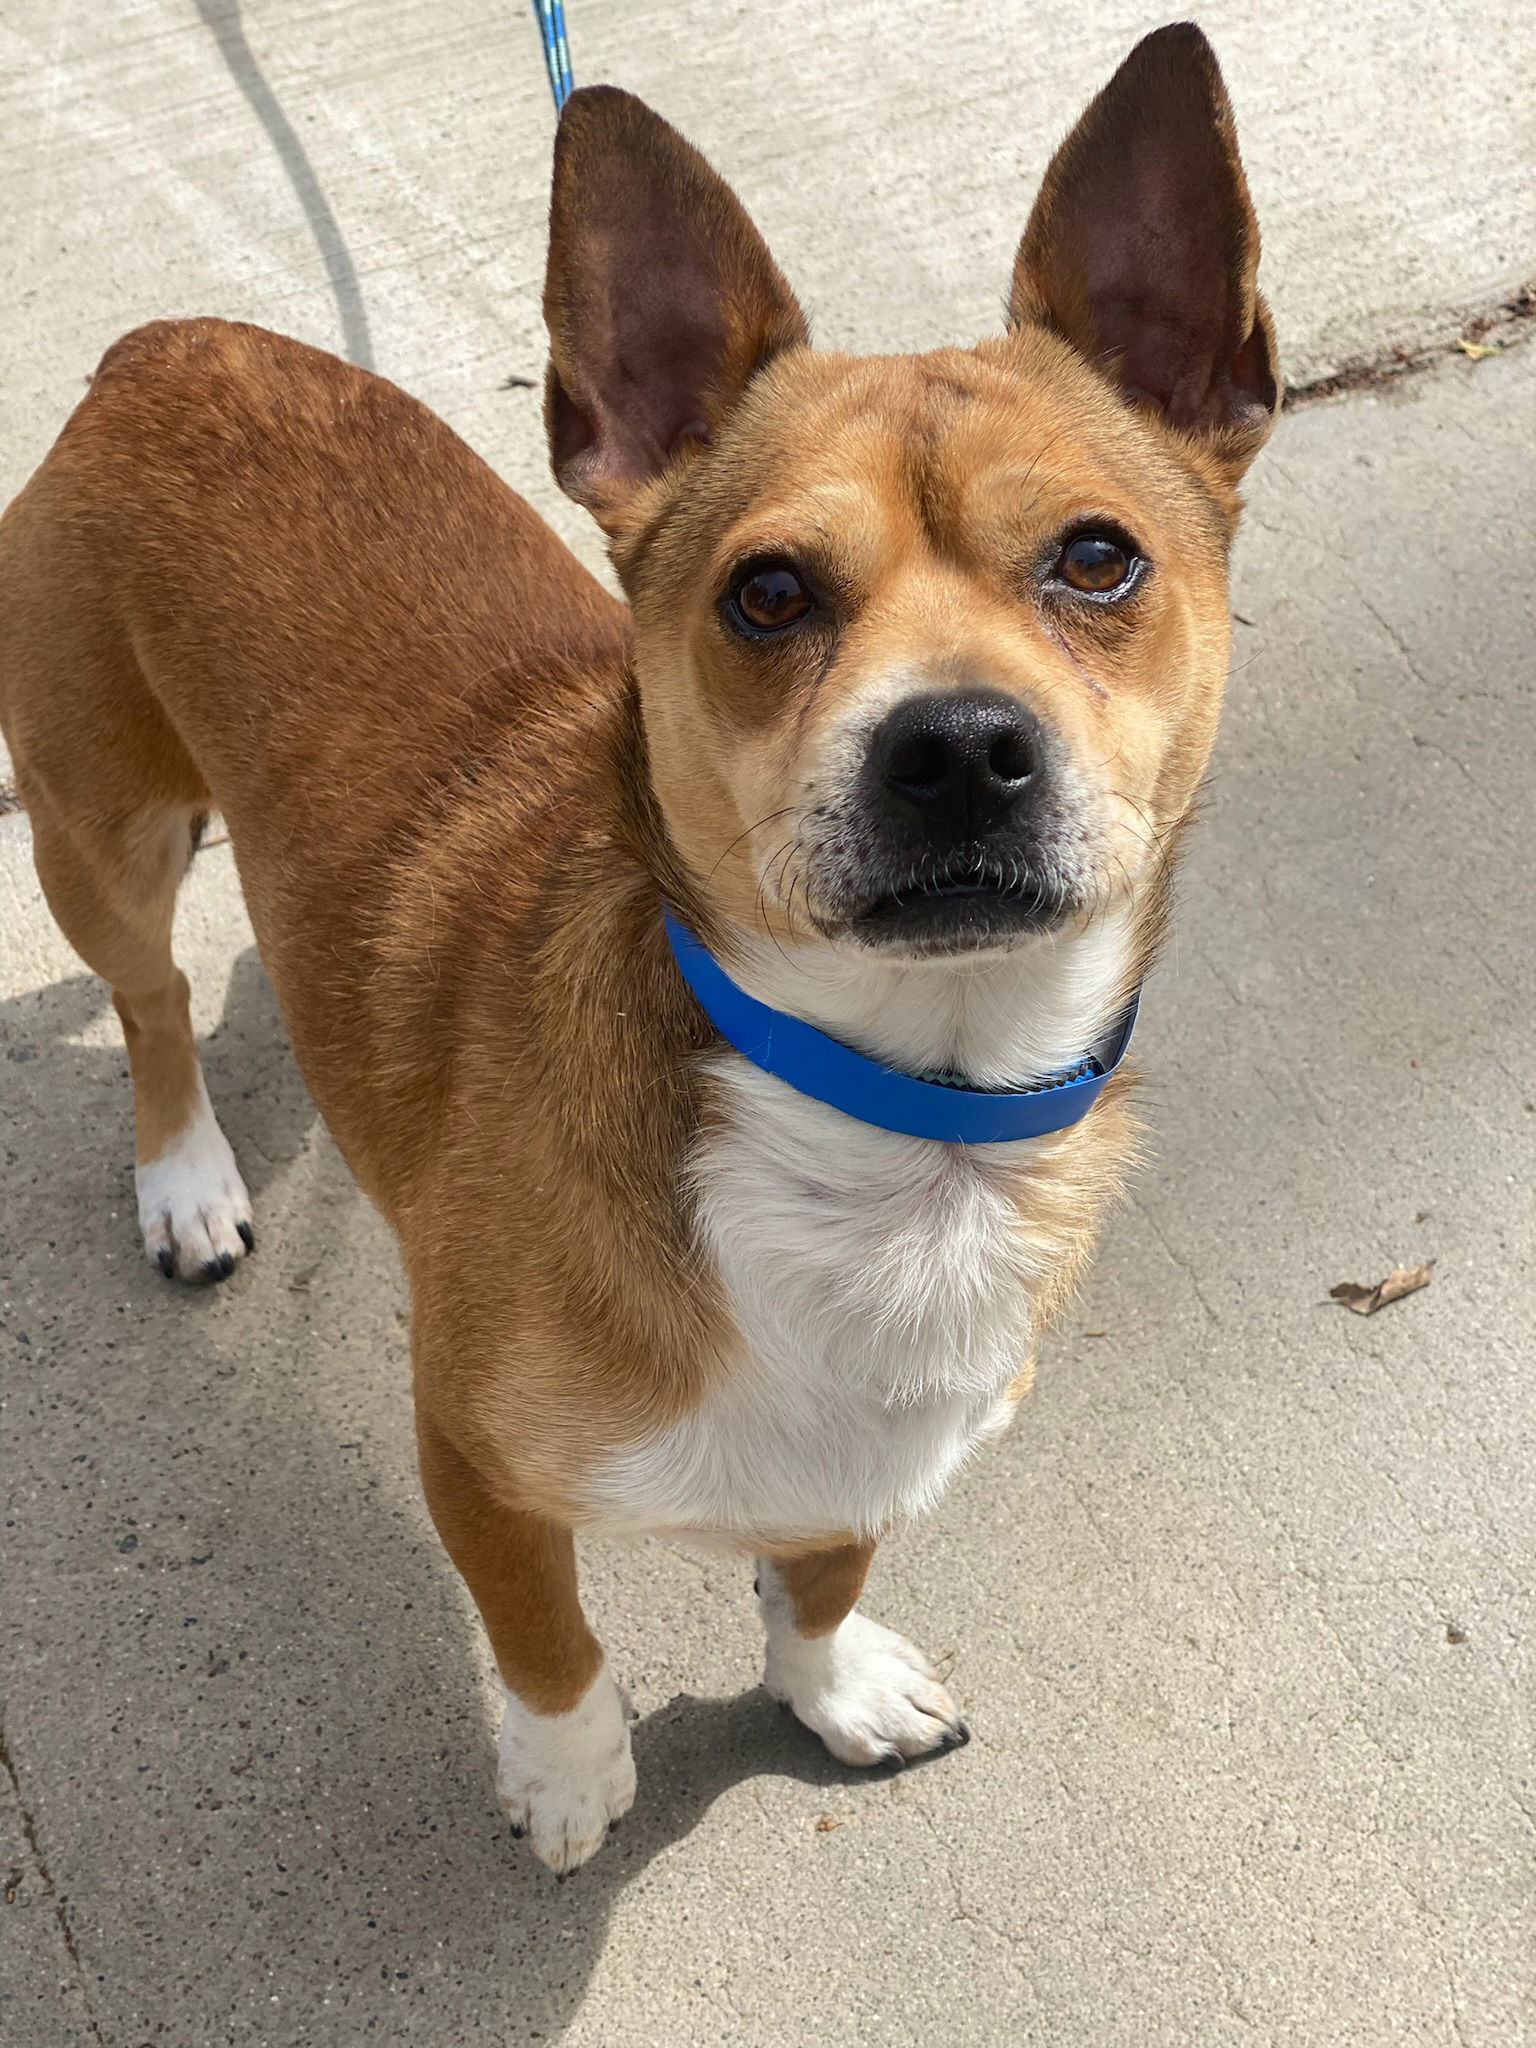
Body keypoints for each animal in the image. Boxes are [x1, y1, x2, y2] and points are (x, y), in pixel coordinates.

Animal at [0, 19, 1277, 1875]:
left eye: (1097, 559)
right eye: (768, 593)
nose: (960, 746)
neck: (898, 1116)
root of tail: (164, 344)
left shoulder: (860, 1465)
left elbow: (822, 1567)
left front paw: (828, 1682)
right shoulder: (469, 1458)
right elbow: (548, 1634)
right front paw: (568, 1768)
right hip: (104, 831)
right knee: (155, 999)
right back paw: (186, 1177)